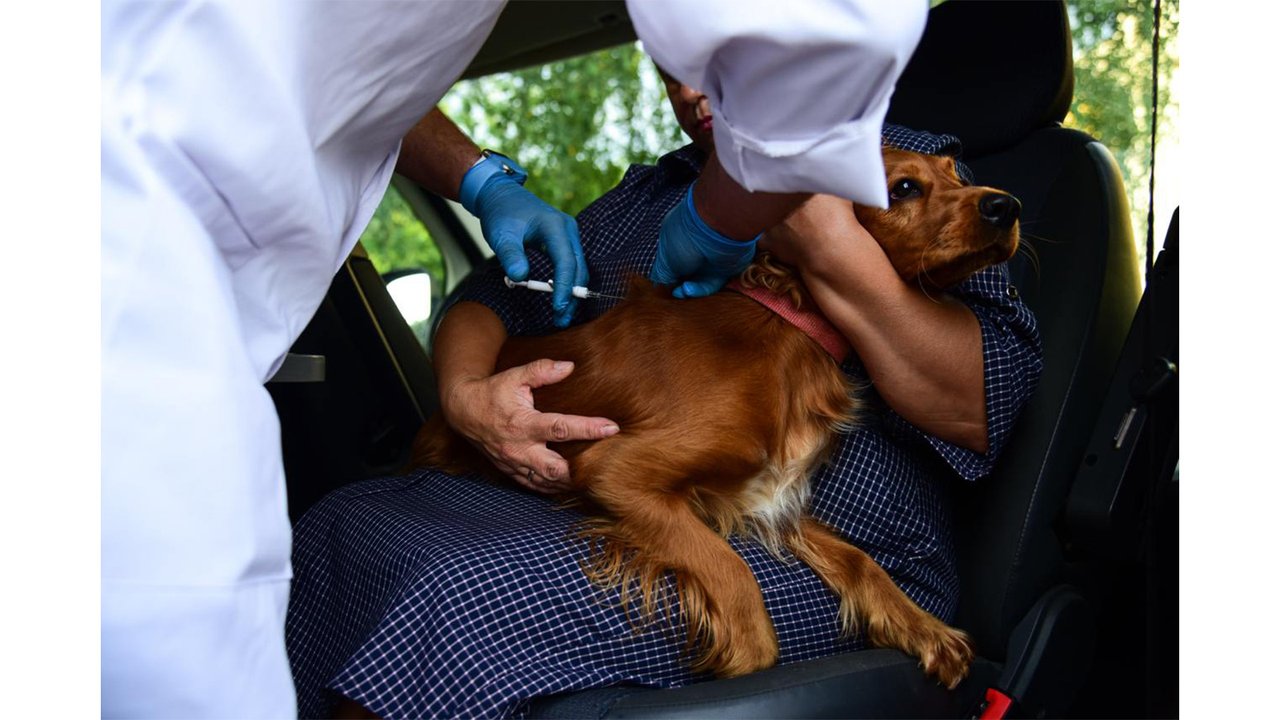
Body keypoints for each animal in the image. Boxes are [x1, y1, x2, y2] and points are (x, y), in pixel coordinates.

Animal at [409, 144, 1018, 681]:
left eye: (956, 173)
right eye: (905, 188)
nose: (1007, 206)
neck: (785, 324)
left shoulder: (772, 497)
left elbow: (859, 559)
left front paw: (924, 628)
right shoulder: (616, 469)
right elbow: (736, 581)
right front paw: (737, 657)